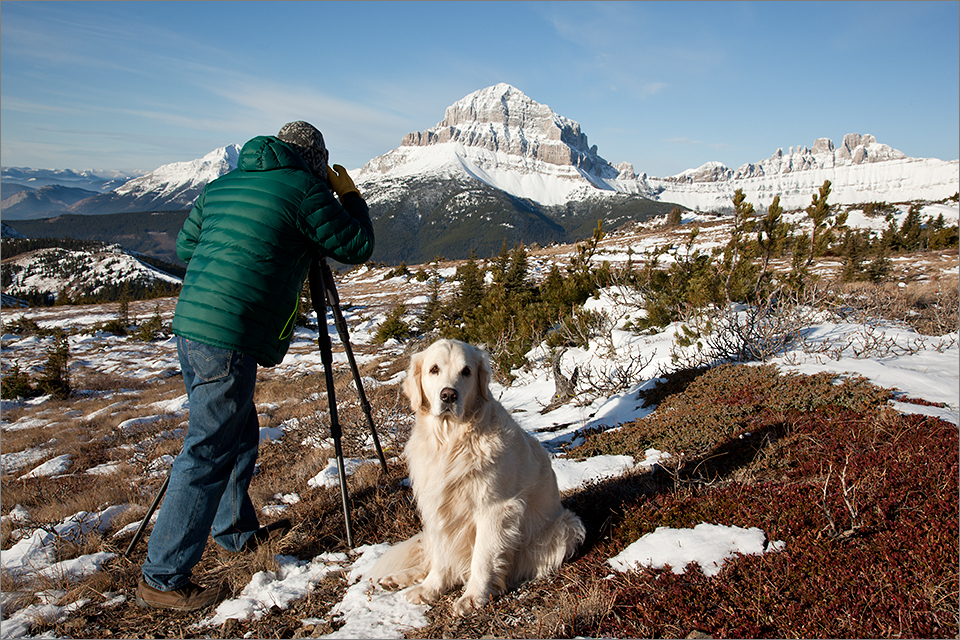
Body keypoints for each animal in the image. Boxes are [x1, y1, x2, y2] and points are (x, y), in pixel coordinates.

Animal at [368, 340, 584, 616]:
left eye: (466, 371)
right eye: (434, 369)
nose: (449, 395)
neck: (451, 440)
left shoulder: (495, 509)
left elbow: (483, 557)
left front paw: (473, 597)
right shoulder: (438, 509)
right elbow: (441, 558)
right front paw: (430, 589)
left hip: (566, 527)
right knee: (428, 559)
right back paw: (398, 578)